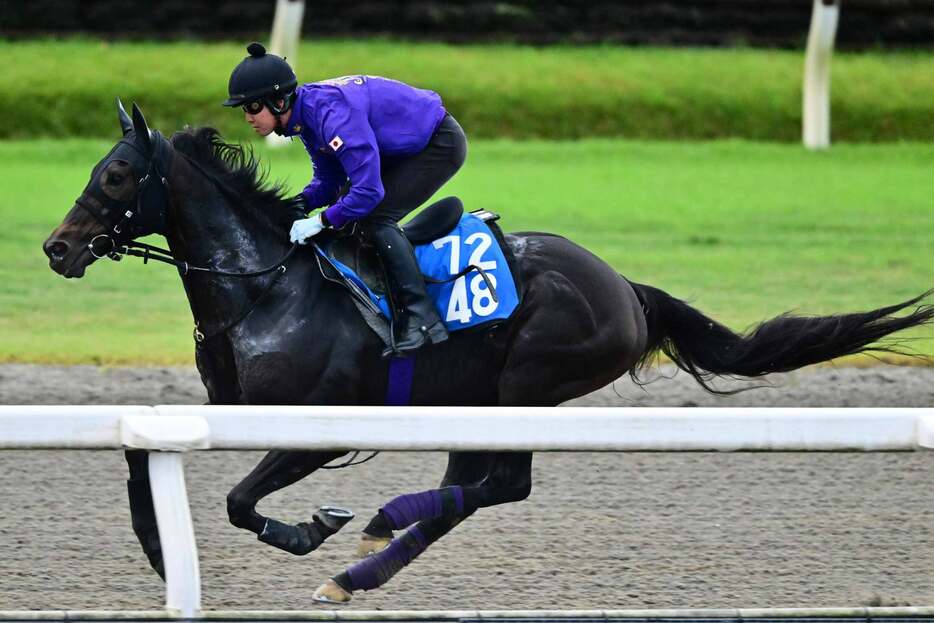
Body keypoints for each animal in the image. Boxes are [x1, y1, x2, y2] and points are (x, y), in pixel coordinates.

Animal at [40, 103, 932, 604]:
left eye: (118, 174)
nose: (56, 247)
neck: (264, 285)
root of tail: (625, 286)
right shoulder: (225, 410)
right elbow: (142, 461)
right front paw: (162, 553)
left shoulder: (322, 426)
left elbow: (237, 502)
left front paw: (312, 527)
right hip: (485, 394)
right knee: (475, 484)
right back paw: (365, 562)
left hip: (528, 379)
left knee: (500, 483)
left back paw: (373, 529)